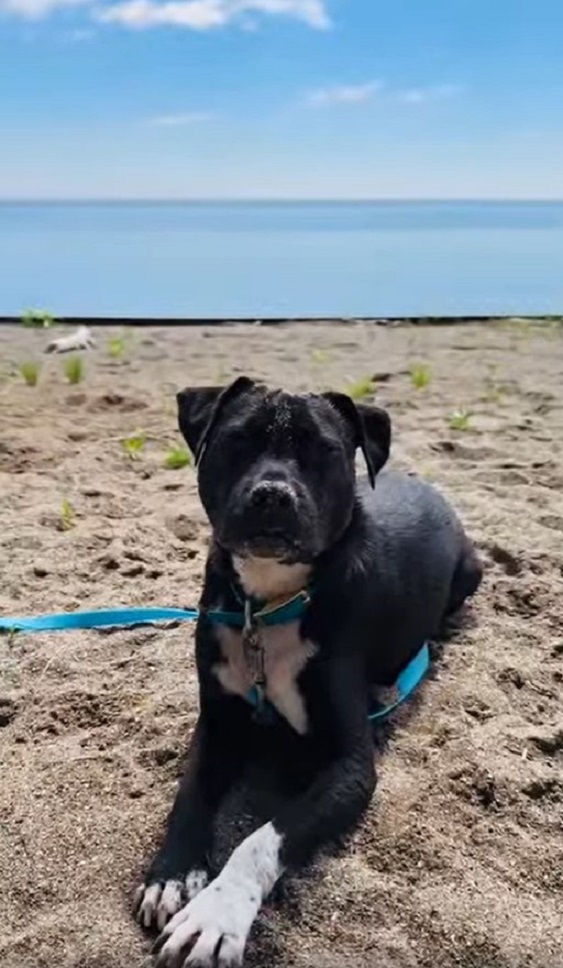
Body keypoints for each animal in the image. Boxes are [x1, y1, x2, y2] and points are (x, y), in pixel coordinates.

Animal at [134, 378, 482, 968]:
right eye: (237, 441)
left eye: (324, 450)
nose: (273, 494)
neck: (270, 604)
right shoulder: (217, 725)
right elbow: (190, 795)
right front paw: (173, 873)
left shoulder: (350, 768)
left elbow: (263, 837)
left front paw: (214, 915)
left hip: (471, 572)